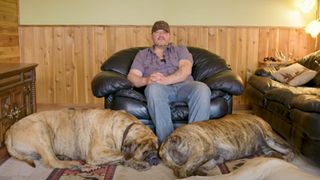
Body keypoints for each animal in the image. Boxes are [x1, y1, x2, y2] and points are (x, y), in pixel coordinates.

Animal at [4, 109, 159, 171]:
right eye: (146, 152)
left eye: (156, 150)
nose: (156, 160)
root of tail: (9, 131)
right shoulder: (97, 153)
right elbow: (122, 155)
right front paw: (137, 161)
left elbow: (122, 158)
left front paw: (136, 164)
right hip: (40, 128)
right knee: (51, 161)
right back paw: (75, 165)